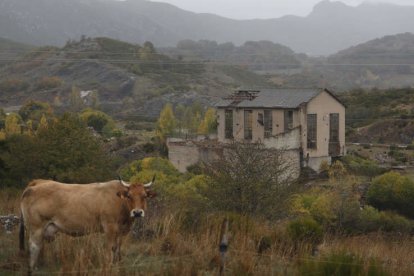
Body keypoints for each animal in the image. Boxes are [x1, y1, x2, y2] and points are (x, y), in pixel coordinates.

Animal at [19, 177, 155, 272]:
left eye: (144, 196)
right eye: (129, 196)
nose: (137, 212)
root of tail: (37, 183)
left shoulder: (120, 231)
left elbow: (117, 249)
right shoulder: (110, 227)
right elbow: (110, 249)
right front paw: (109, 267)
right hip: (36, 227)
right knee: (34, 247)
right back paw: (32, 268)